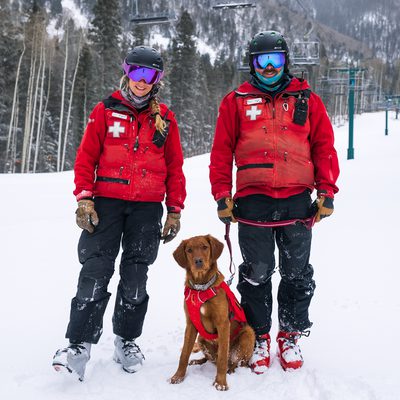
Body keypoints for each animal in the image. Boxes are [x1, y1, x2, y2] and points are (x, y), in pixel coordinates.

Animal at [169, 235, 255, 391]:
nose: (198, 261)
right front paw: (178, 377)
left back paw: (230, 370)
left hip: (248, 333)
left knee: (237, 362)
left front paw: (220, 383)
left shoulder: (223, 324)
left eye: (205, 247)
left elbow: (222, 357)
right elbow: (184, 354)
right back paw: (197, 361)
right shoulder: (190, 325)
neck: (201, 287)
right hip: (201, 338)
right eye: (189, 250)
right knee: (209, 359)